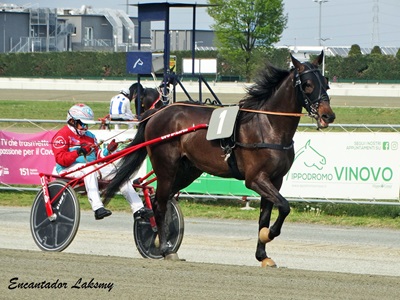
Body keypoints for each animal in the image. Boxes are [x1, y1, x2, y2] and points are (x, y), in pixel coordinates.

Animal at [104, 52, 336, 268]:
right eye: (307, 85)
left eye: (326, 83)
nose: (328, 116)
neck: (267, 126)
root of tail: (157, 112)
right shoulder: (255, 179)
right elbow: (285, 206)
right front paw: (268, 234)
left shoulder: (274, 180)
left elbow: (266, 216)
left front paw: (263, 255)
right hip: (166, 167)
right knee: (160, 204)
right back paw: (164, 248)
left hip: (188, 170)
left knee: (163, 200)